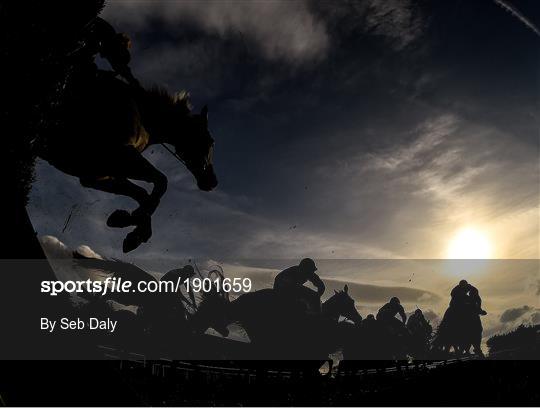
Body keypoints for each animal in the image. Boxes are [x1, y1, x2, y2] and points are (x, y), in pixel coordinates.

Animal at [38, 73, 217, 252]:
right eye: (210, 141)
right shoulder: (120, 155)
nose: (212, 182)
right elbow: (160, 183)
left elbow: (142, 194)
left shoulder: (99, 175)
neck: (143, 114)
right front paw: (133, 228)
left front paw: (128, 225)